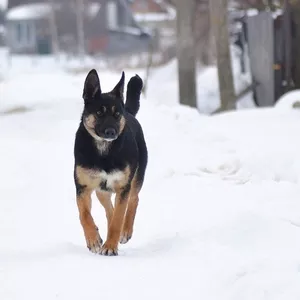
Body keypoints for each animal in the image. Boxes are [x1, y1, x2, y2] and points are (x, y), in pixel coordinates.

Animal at [73, 69, 148, 255]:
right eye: (99, 113)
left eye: (116, 114)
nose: (111, 132)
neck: (103, 151)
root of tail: (129, 112)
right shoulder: (83, 187)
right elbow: (84, 215)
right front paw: (93, 240)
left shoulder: (122, 187)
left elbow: (118, 220)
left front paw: (110, 246)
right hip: (102, 191)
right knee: (109, 210)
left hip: (135, 179)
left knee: (133, 200)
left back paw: (125, 231)